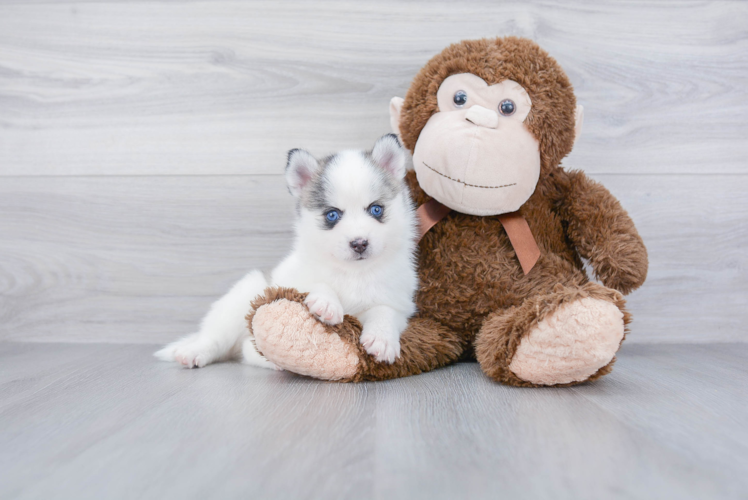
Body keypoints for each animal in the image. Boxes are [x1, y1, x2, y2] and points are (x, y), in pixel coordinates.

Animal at [155, 135, 418, 370]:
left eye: (376, 209)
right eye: (332, 215)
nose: (359, 243)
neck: (353, 273)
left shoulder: (398, 302)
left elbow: (384, 312)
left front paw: (382, 339)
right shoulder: (290, 277)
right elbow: (315, 282)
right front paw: (326, 301)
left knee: (247, 349)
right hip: (242, 297)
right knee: (217, 338)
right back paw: (194, 351)